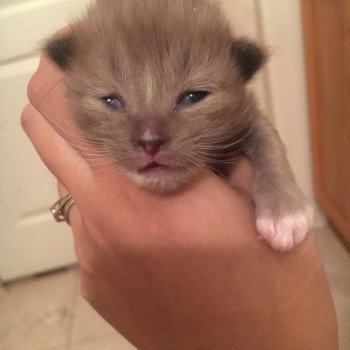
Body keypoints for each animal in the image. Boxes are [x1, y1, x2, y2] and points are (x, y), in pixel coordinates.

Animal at [43, 0, 312, 252]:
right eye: (111, 101)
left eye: (192, 97)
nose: (150, 142)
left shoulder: (247, 112)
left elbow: (268, 140)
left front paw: (285, 213)